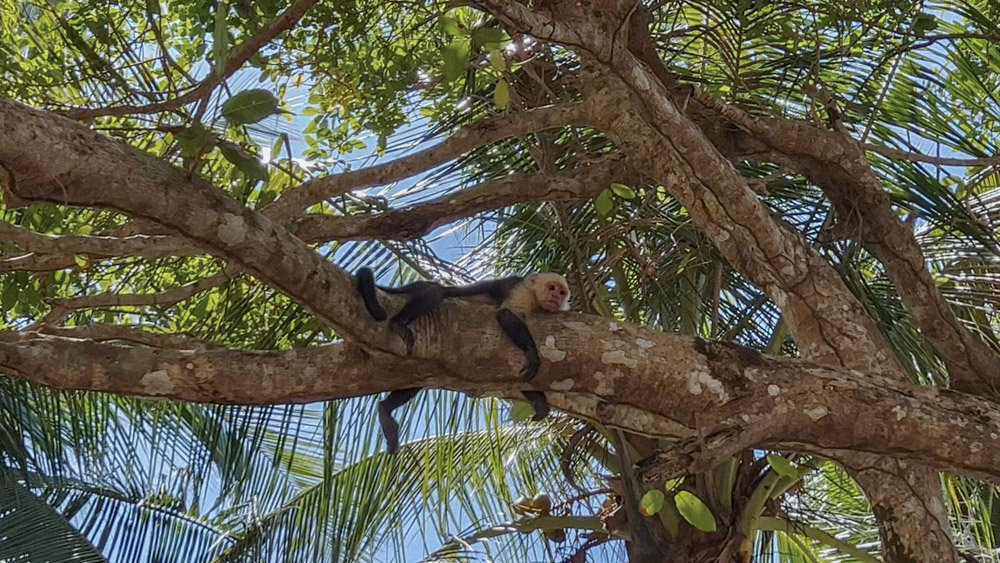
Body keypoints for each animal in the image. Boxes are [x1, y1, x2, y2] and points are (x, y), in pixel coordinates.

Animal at [356, 268, 572, 454]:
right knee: (437, 292)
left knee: (419, 379)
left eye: (562, 292)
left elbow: (519, 381)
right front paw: (532, 353)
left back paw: (385, 409)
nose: (557, 297)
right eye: (552, 288)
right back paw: (399, 323)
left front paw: (540, 403)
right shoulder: (521, 291)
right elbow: (505, 314)